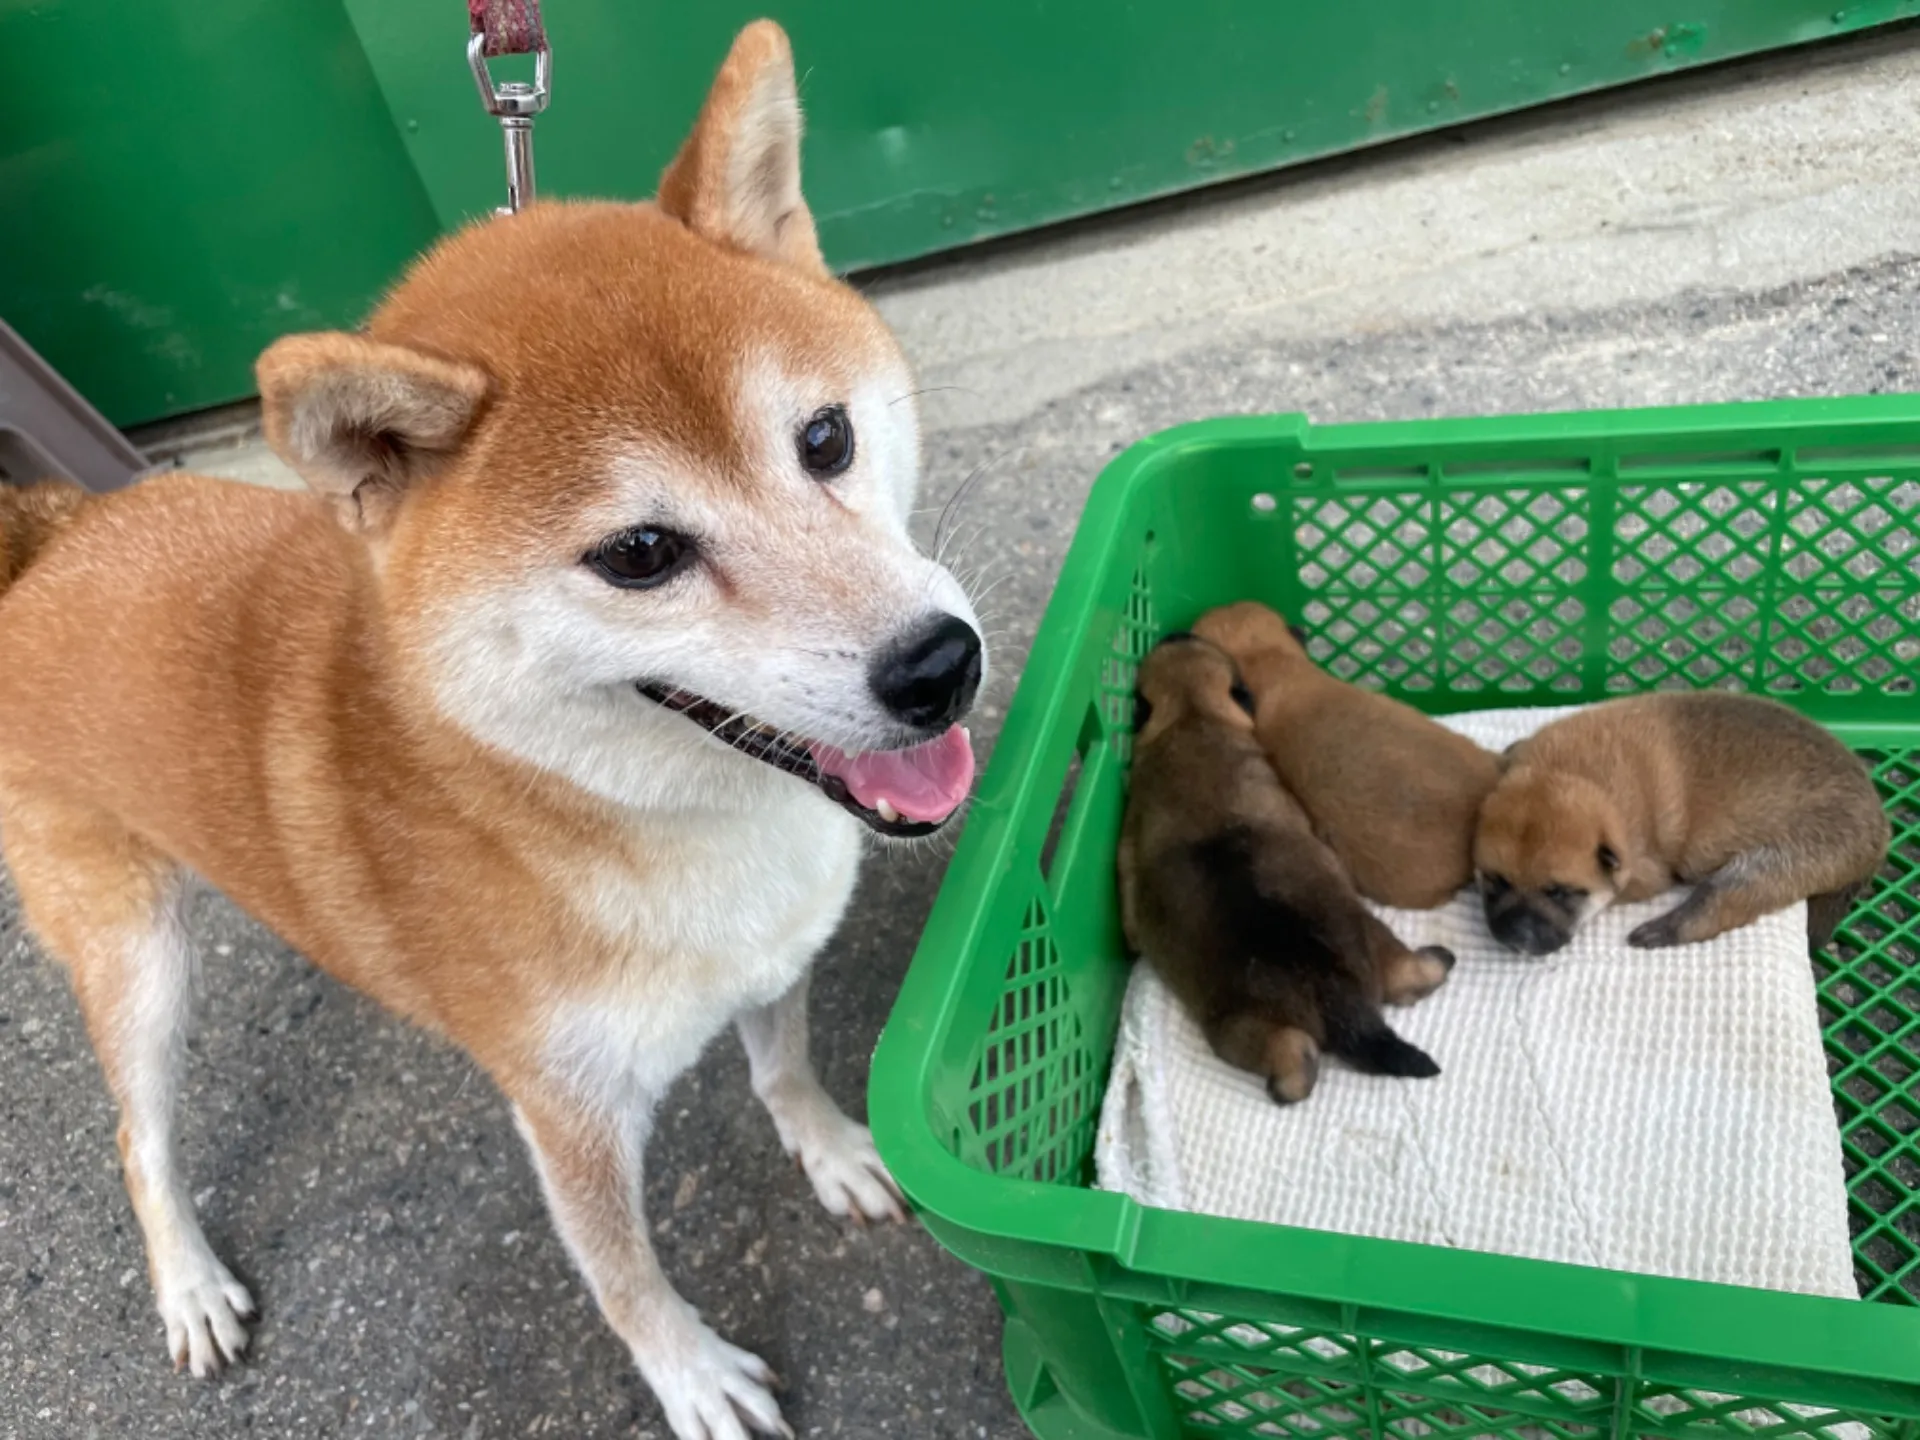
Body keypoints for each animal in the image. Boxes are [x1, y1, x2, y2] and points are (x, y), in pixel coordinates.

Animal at [1121, 633, 1443, 1105]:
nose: (1176, 634)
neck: (1192, 715)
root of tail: (1338, 1000)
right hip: (1372, 935)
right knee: (1401, 973)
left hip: (1236, 1030)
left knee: (1292, 1051)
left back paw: (1288, 1082)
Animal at [1474, 691, 1881, 960]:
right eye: (1494, 881)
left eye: (1559, 892)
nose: (1515, 939)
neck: (1569, 774)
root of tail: (1880, 830)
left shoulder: (1644, 873)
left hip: (1782, 861)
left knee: (1722, 899)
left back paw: (1665, 928)